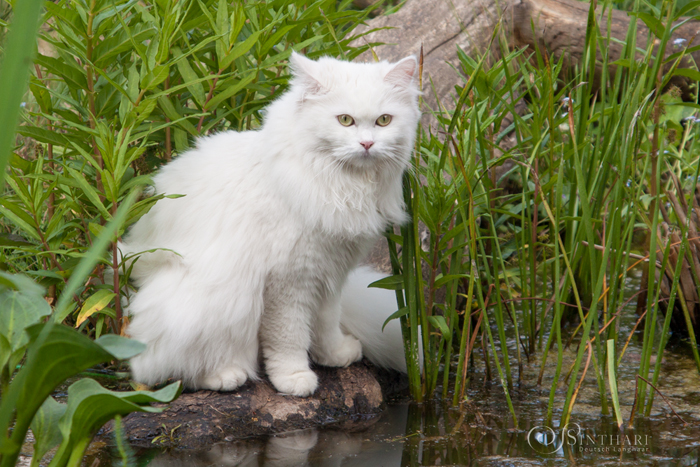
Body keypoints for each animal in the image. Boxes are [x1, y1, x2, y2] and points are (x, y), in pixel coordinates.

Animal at [118, 52, 418, 394]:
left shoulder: (329, 274)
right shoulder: (289, 281)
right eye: (345, 120)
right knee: (166, 370)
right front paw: (294, 378)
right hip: (213, 301)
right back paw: (225, 375)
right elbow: (289, 337)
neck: (342, 186)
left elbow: (325, 324)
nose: (367, 144)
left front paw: (335, 355)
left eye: (384, 121)